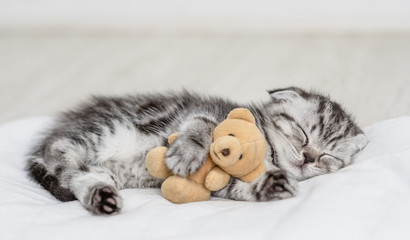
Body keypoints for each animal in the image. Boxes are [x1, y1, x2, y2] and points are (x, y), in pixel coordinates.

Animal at [25, 87, 366, 215]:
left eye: (329, 157)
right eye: (302, 134)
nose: (308, 158)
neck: (267, 153)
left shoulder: (221, 184)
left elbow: (239, 188)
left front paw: (270, 185)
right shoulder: (207, 115)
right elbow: (201, 127)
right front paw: (186, 154)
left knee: (77, 176)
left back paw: (100, 195)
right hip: (102, 132)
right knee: (62, 158)